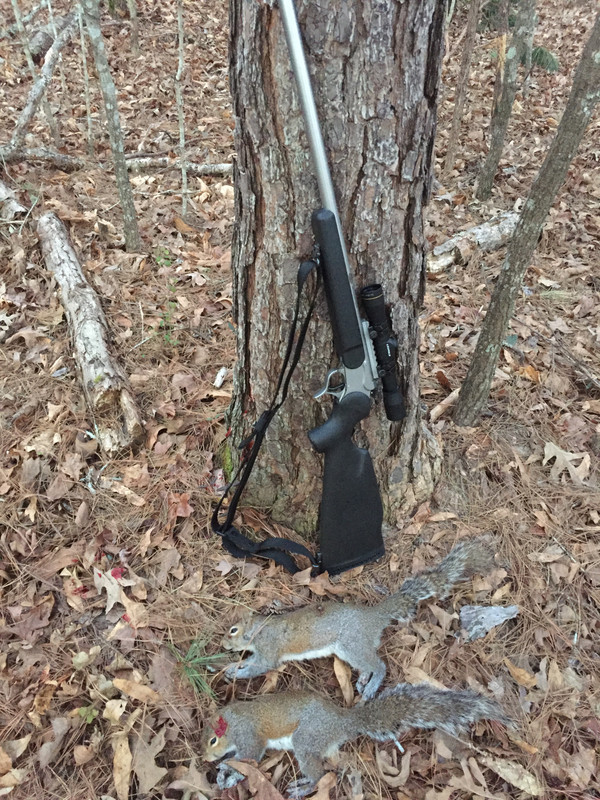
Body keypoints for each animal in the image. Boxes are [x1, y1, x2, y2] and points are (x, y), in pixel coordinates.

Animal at [202, 683, 510, 797]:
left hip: (307, 739)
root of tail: (342, 722)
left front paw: (226, 768)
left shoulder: (249, 738)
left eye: (212, 741)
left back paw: (303, 787)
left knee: (319, 773)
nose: (204, 758)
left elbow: (248, 757)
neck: (234, 721)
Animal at [222, 536, 497, 699]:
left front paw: (237, 674)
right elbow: (250, 661)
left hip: (352, 644)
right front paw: (231, 667)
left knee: (379, 665)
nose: (223, 645)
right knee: (369, 664)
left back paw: (371, 686)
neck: (259, 630)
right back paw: (364, 678)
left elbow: (261, 666)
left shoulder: (269, 650)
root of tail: (374, 616)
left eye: (233, 630)